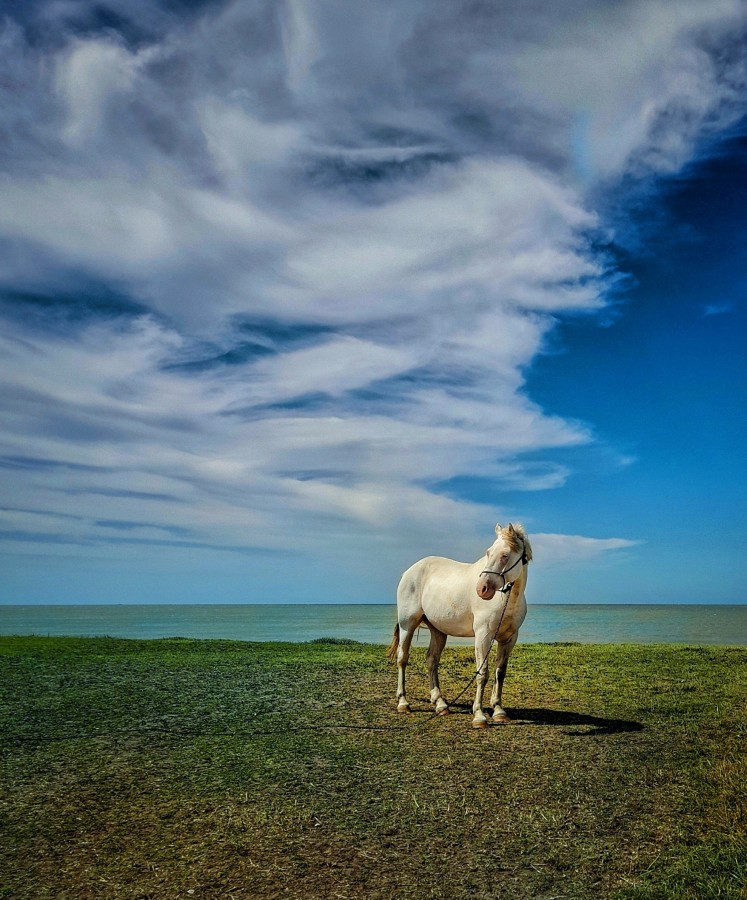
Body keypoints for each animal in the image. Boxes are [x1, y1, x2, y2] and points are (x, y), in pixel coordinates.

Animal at [392, 524, 532, 728]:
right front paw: (479, 716)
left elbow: (500, 673)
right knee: (402, 658)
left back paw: (441, 705)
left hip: (438, 631)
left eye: (505, 555)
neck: (507, 599)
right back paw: (403, 703)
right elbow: (483, 674)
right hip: (407, 625)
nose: (482, 589)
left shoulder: (510, 638)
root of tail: (408, 572)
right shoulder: (483, 635)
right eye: (488, 553)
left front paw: (498, 711)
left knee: (432, 660)